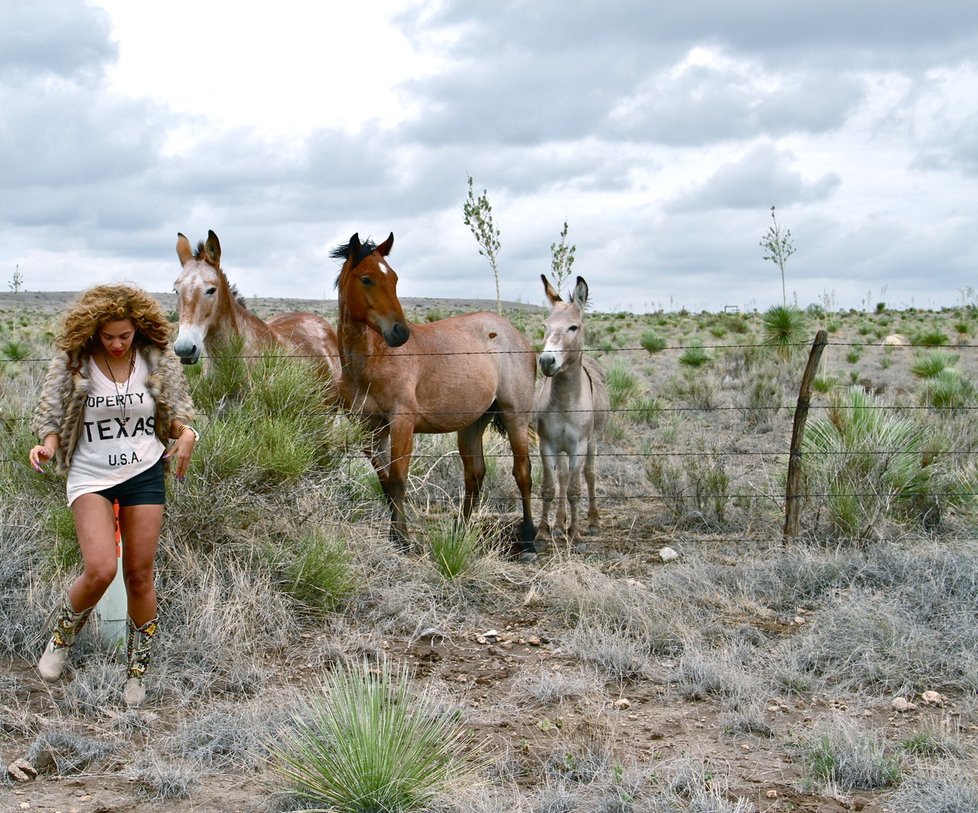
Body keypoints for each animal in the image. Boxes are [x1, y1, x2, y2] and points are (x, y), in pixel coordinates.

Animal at [332, 232, 536, 556]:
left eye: (394, 279)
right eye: (366, 279)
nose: (400, 333)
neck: (372, 361)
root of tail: (515, 334)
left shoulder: (402, 423)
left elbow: (398, 481)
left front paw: (403, 539)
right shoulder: (369, 429)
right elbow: (385, 482)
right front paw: (396, 535)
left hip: (515, 416)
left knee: (522, 472)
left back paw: (529, 540)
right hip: (472, 424)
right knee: (474, 475)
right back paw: (460, 533)